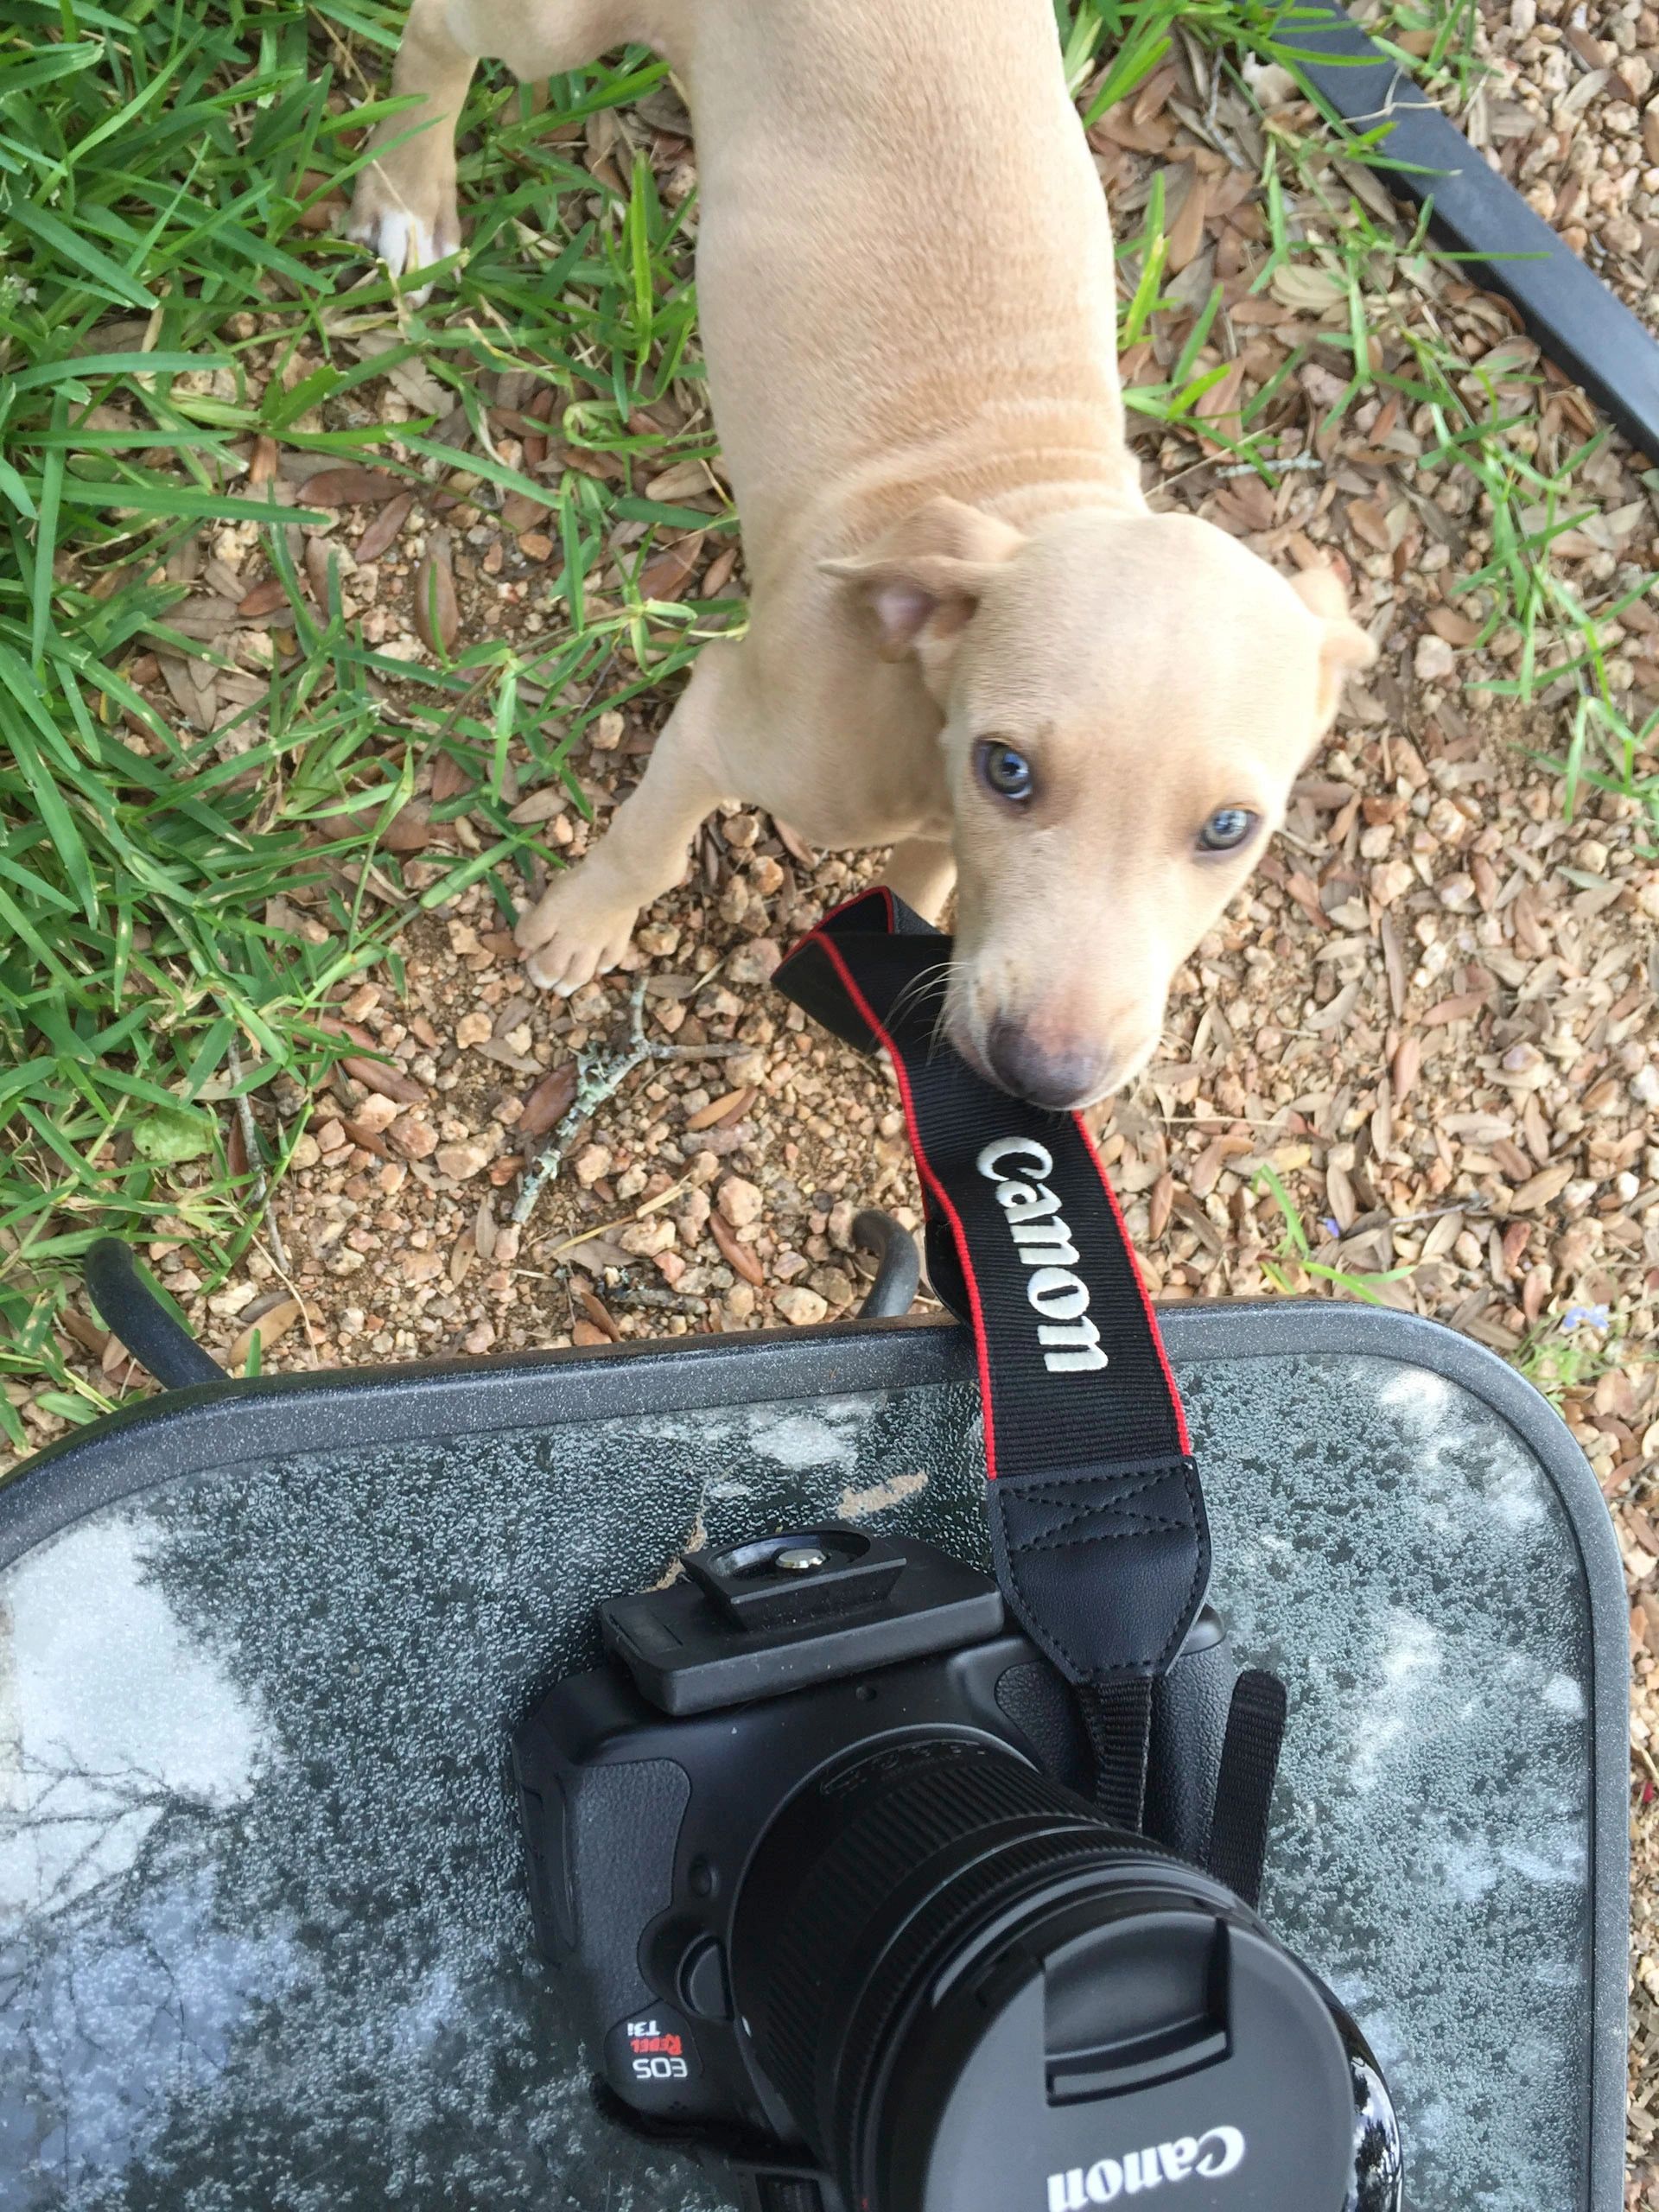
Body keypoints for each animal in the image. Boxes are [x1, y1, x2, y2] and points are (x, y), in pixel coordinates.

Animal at [352, 0, 1380, 1106]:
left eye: (1230, 829)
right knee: (441, 34)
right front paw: (581, 928)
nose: (1044, 1080)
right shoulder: (719, 718)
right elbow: (649, 850)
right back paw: (408, 194)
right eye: (1008, 769)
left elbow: (923, 882)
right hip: (550, 31)